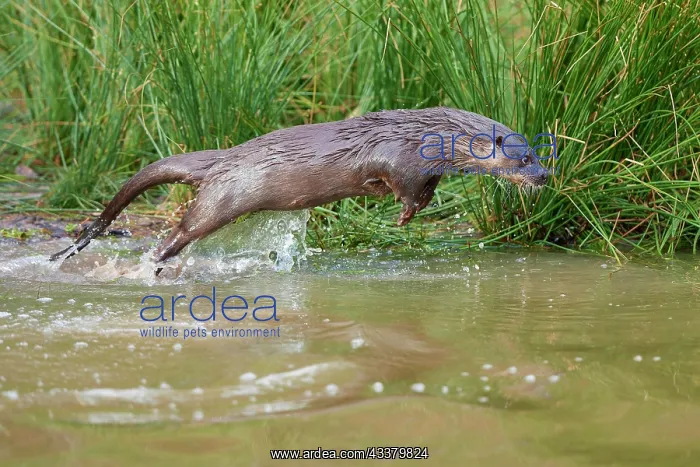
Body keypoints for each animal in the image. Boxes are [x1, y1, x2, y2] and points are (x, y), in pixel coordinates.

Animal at [50, 107, 547, 264]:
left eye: (542, 154)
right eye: (523, 158)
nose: (544, 176)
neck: (426, 136)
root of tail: (222, 158)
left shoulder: (427, 170)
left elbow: (426, 189)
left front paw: (415, 208)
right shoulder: (398, 156)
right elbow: (400, 184)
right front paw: (404, 213)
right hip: (221, 197)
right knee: (182, 230)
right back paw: (156, 264)